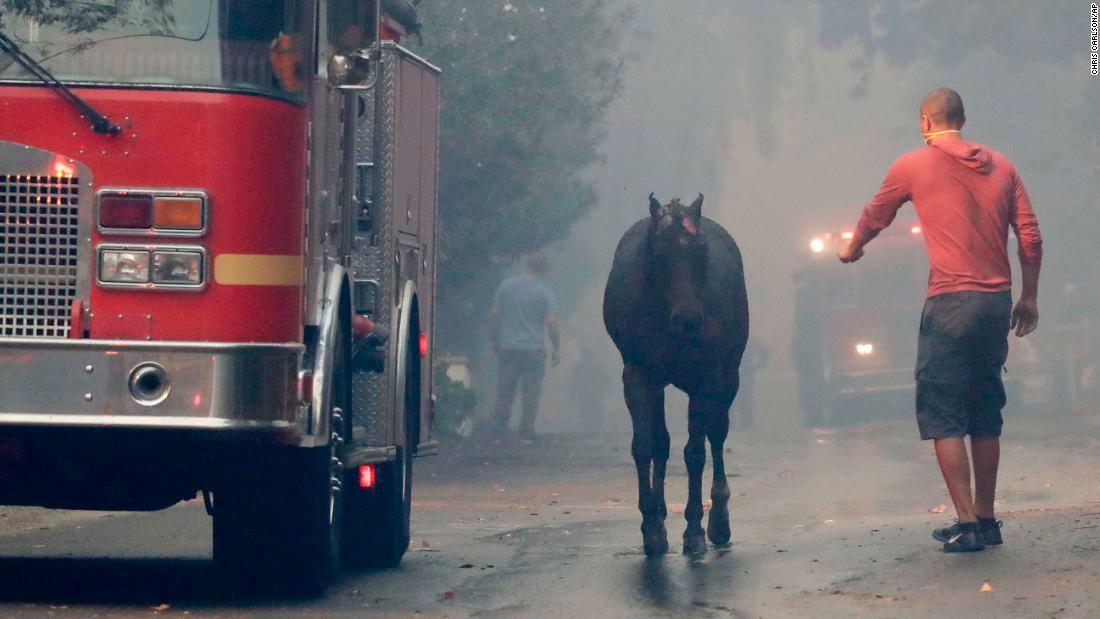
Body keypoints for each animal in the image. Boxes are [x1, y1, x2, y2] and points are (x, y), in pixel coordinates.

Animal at [602, 193, 748, 556]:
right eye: (659, 252)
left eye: (701, 250)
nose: (689, 320)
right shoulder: (638, 374)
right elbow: (645, 444)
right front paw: (652, 528)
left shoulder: (706, 377)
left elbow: (696, 450)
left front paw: (694, 530)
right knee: (661, 441)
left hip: (730, 374)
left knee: (717, 432)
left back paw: (719, 521)